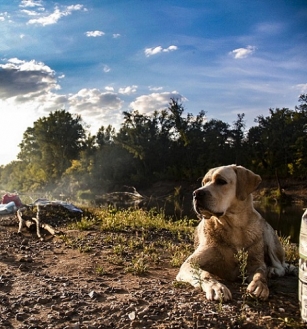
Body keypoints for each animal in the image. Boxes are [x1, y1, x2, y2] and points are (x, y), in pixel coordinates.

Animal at [177, 164, 288, 300]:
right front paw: (216, 287)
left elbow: (260, 273)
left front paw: (260, 285)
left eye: (221, 181)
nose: (196, 193)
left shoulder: (256, 263)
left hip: (268, 234)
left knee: (281, 265)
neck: (234, 227)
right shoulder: (190, 264)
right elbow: (205, 274)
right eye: (204, 182)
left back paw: (273, 270)